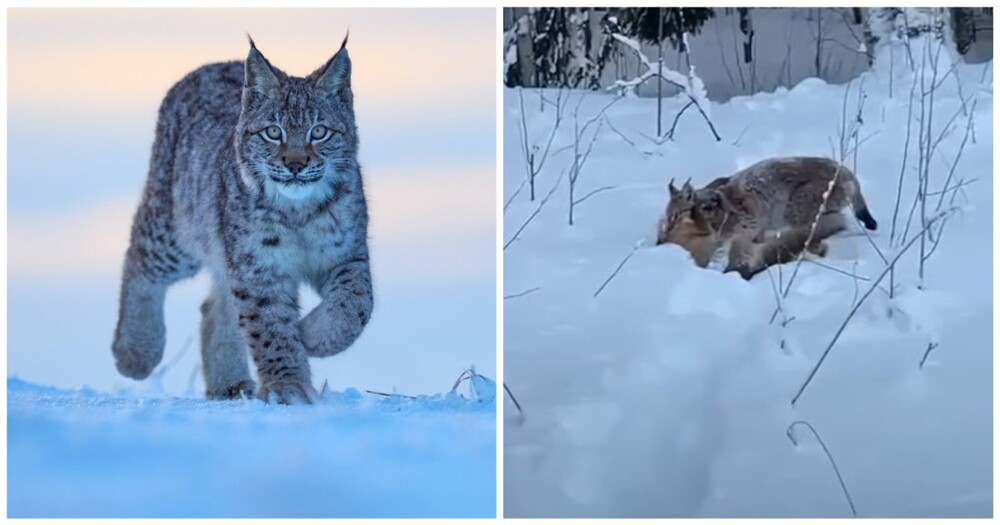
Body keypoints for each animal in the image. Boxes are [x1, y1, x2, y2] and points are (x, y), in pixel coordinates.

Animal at [656, 155, 876, 278]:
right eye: (667, 219)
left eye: (675, 217)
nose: (660, 239)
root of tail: (846, 171)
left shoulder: (747, 225)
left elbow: (739, 251)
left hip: (795, 208)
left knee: (824, 226)